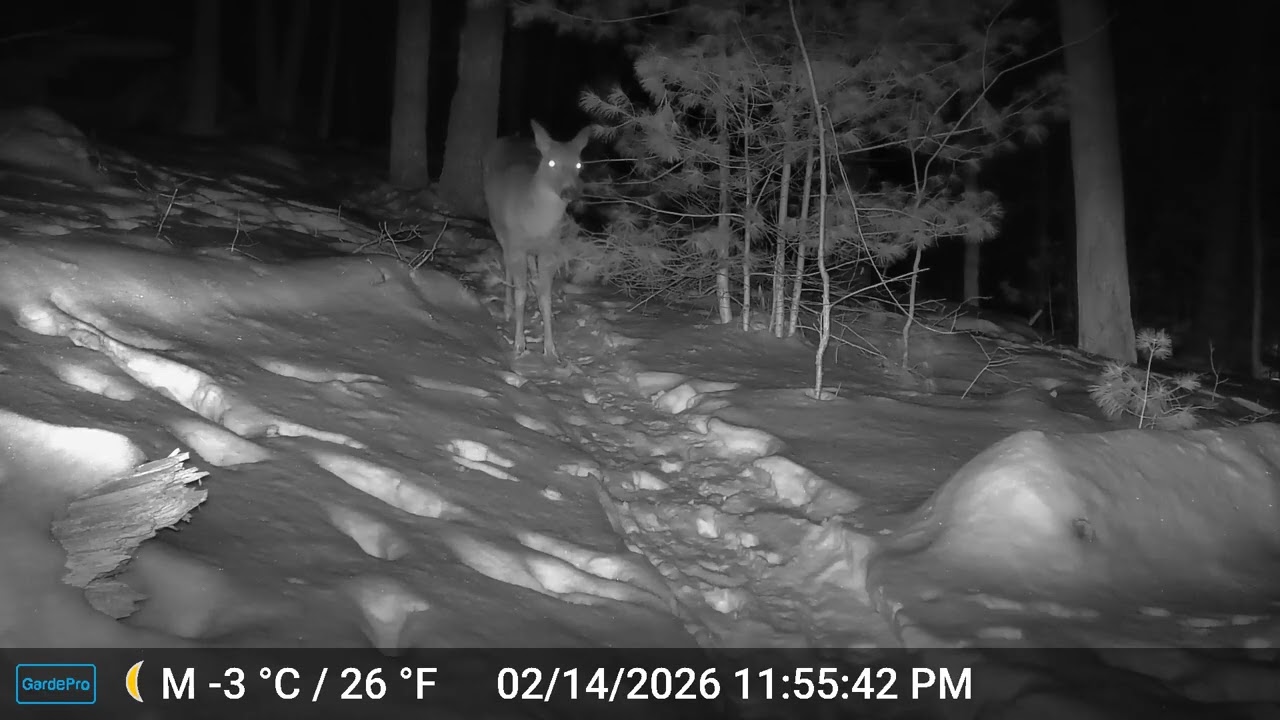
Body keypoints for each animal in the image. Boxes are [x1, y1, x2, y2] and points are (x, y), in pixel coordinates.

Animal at [481, 119, 592, 360]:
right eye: (551, 162)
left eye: (579, 165)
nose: (570, 191)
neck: (536, 222)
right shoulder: (516, 243)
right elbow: (520, 294)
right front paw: (519, 344)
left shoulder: (549, 247)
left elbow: (546, 298)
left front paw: (550, 349)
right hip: (499, 227)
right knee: (506, 265)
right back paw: (507, 307)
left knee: (530, 267)